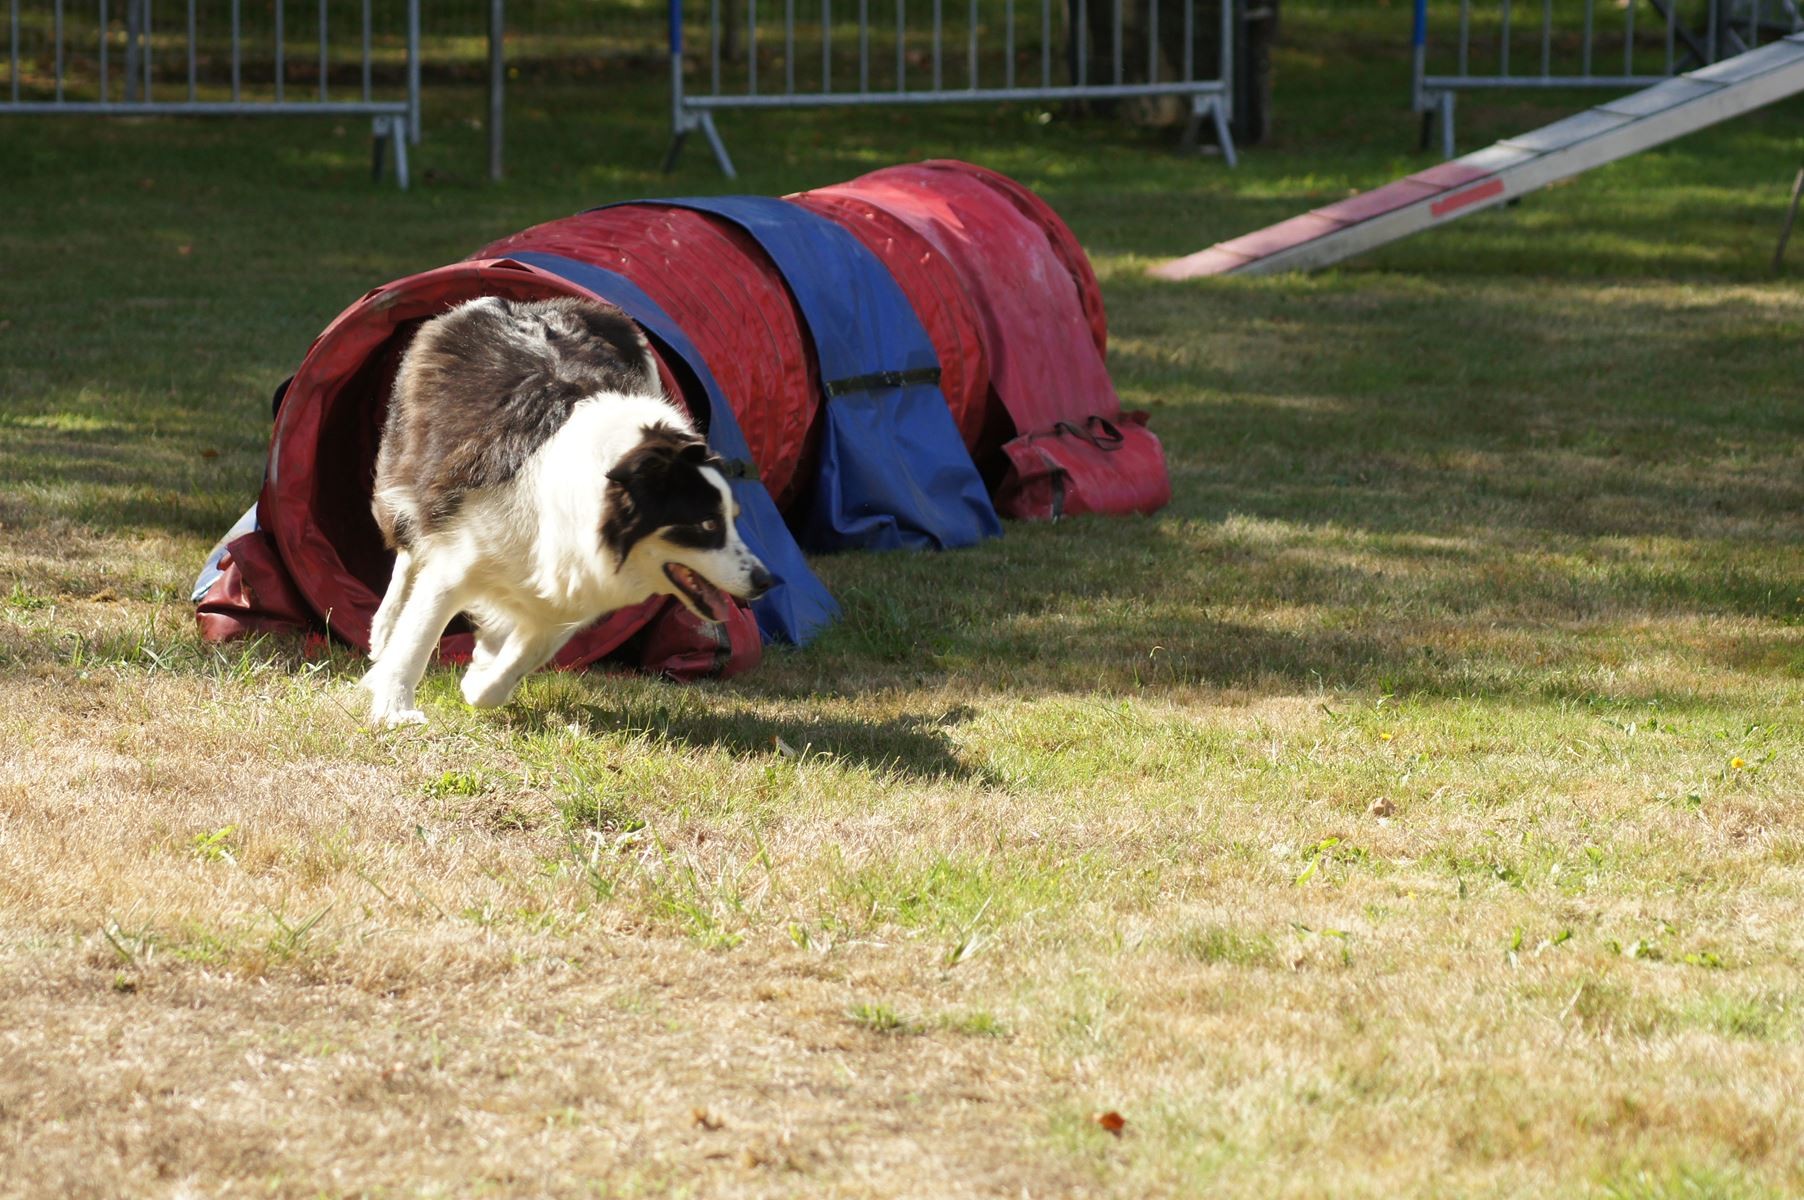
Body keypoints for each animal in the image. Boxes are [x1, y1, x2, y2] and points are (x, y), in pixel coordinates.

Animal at [358, 297, 768, 729]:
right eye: (706, 524)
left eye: (733, 518)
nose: (765, 581)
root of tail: (514, 304)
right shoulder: (458, 561)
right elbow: (417, 639)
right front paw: (395, 709)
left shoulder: (569, 590)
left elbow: (520, 659)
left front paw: (479, 678)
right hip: (414, 468)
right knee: (408, 545)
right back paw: (383, 627)